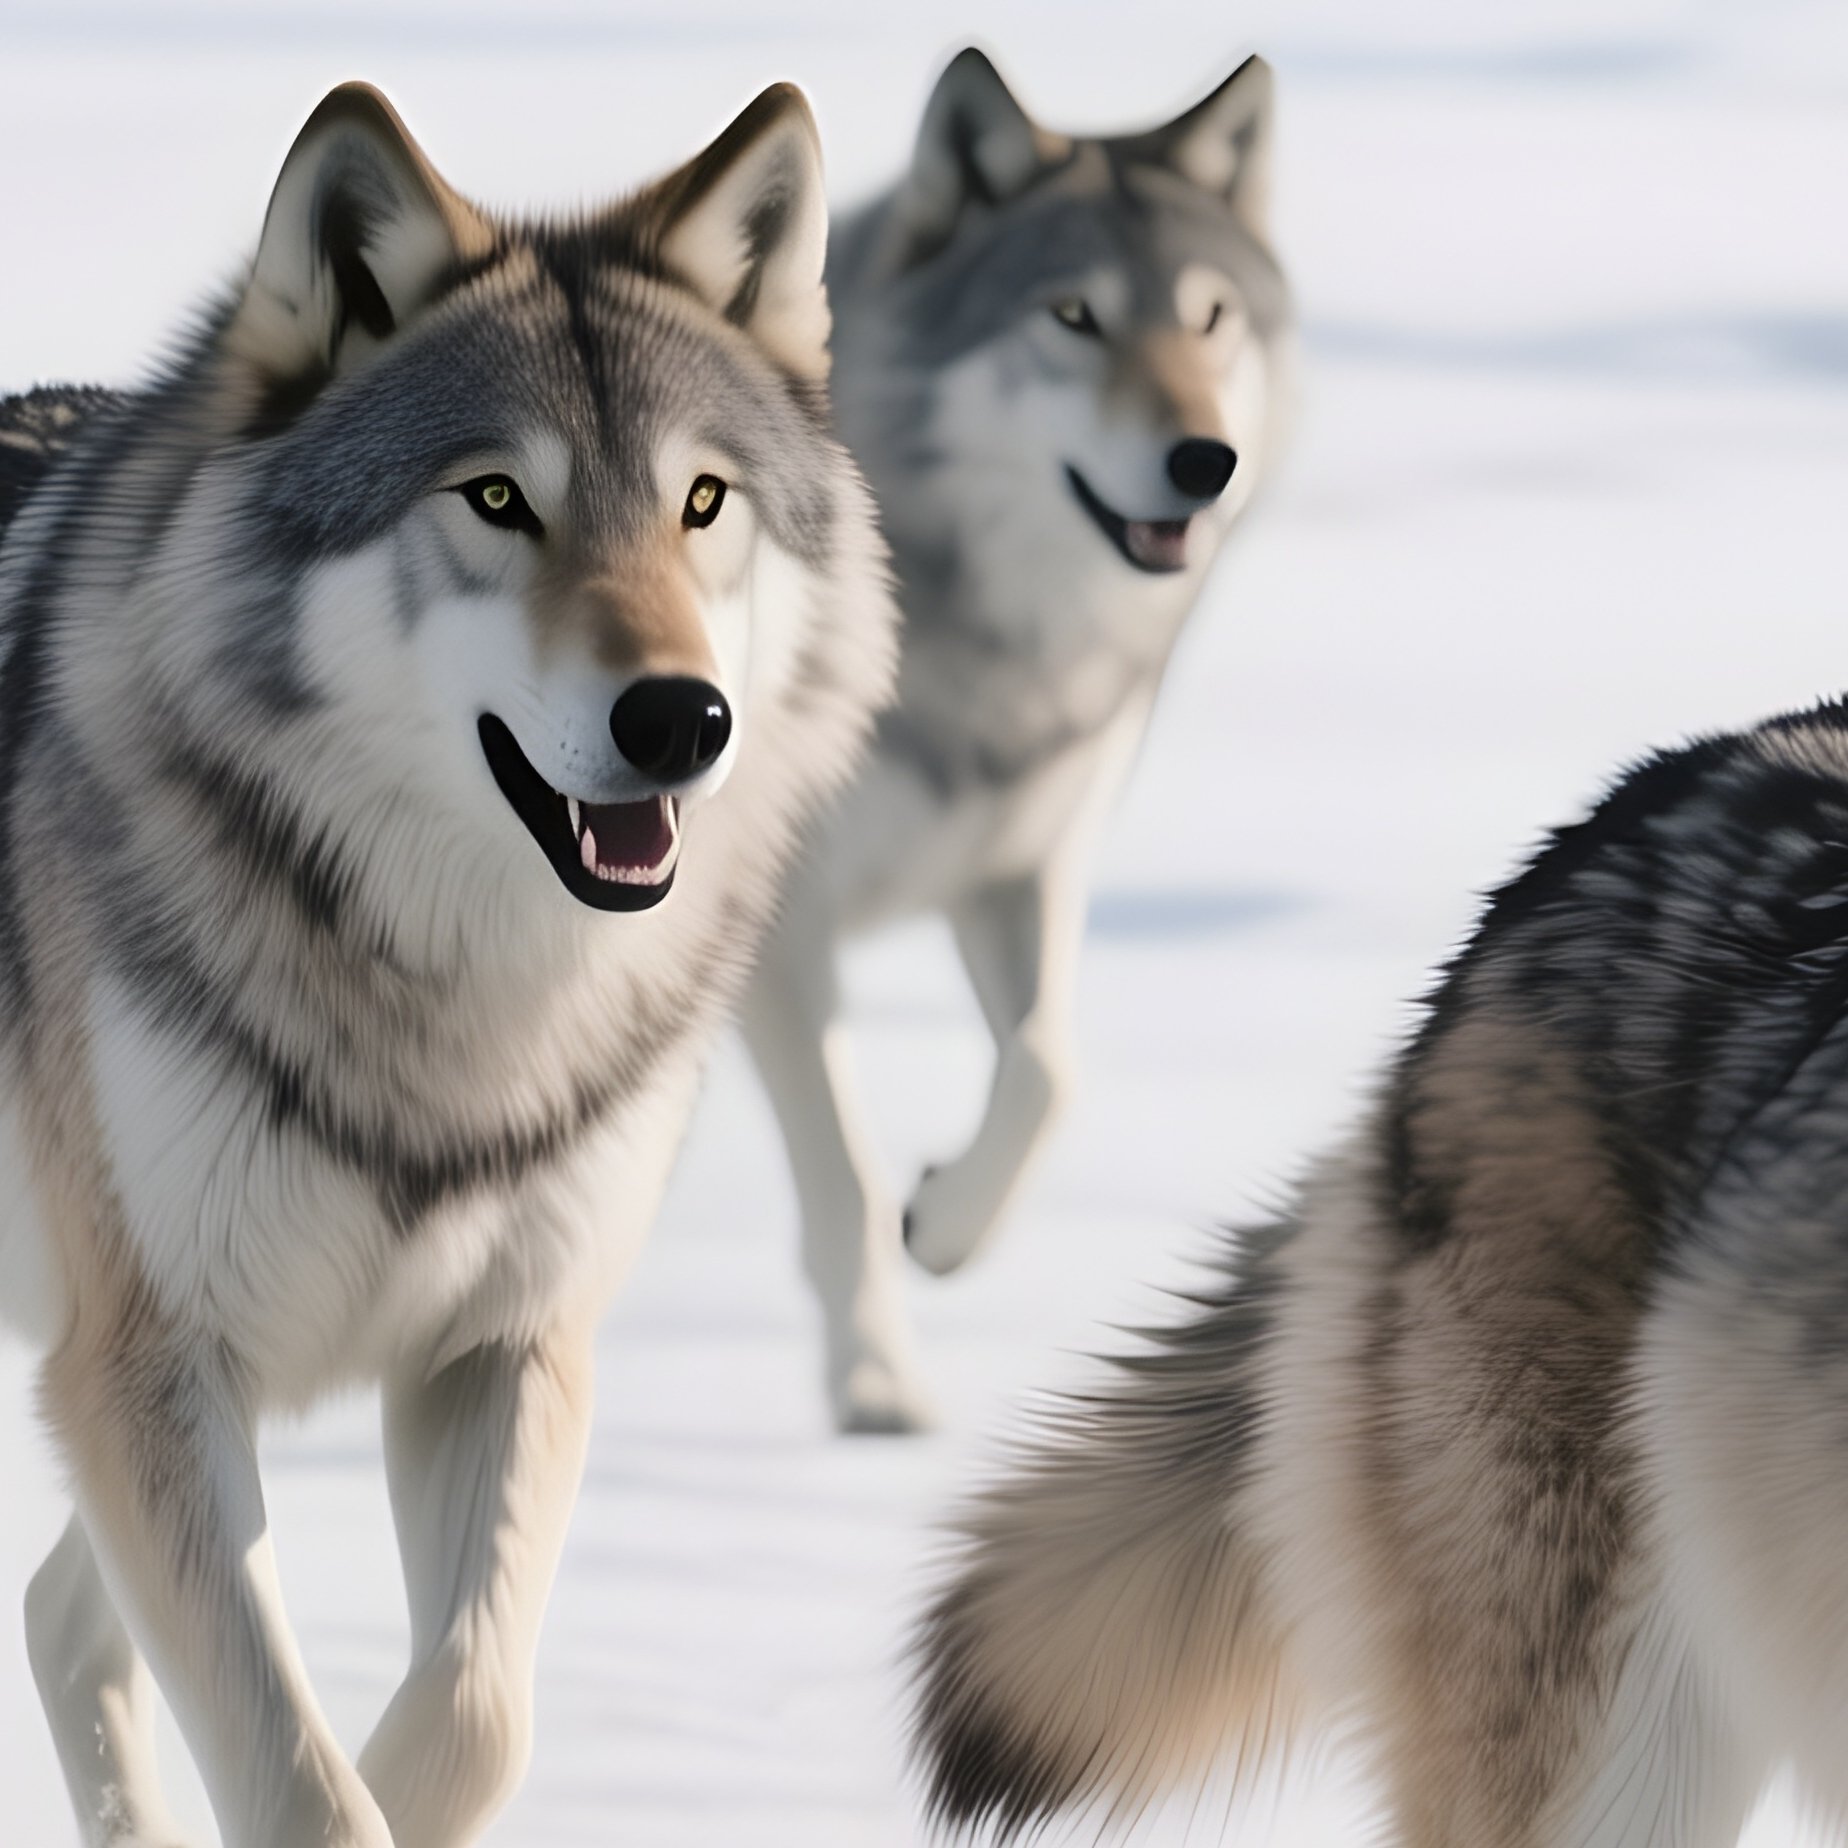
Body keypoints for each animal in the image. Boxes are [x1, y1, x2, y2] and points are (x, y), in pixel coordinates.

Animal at [0, 80, 894, 1848]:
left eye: (703, 503)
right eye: (497, 500)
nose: (681, 719)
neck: (459, 996)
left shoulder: (505, 1344)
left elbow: (476, 1721)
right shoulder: (149, 1363)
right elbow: (305, 1783)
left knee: (63, 1612)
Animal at [740, 48, 1295, 1433]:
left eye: (1211, 318)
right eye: (1073, 317)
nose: (1206, 460)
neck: (980, 653)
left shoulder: (1021, 871)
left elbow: (1049, 1072)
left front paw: (946, 1224)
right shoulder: (781, 929)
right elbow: (841, 1174)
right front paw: (877, 1386)